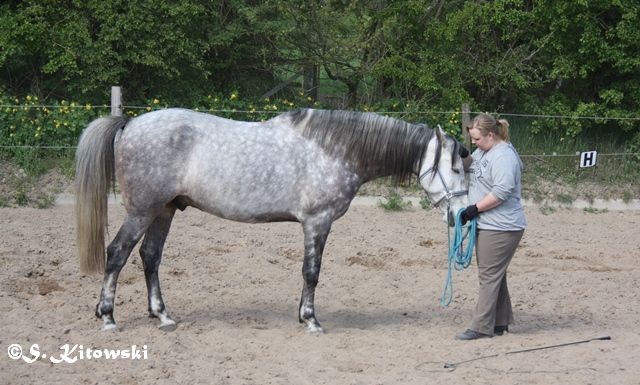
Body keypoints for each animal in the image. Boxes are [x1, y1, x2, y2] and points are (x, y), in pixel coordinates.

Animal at [76, 108, 464, 332]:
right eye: (458, 168)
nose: (458, 215)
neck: (335, 150)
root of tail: (129, 123)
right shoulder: (317, 222)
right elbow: (312, 272)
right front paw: (311, 320)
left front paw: (302, 315)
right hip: (142, 211)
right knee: (117, 254)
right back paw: (107, 316)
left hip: (164, 210)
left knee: (150, 257)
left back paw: (162, 316)